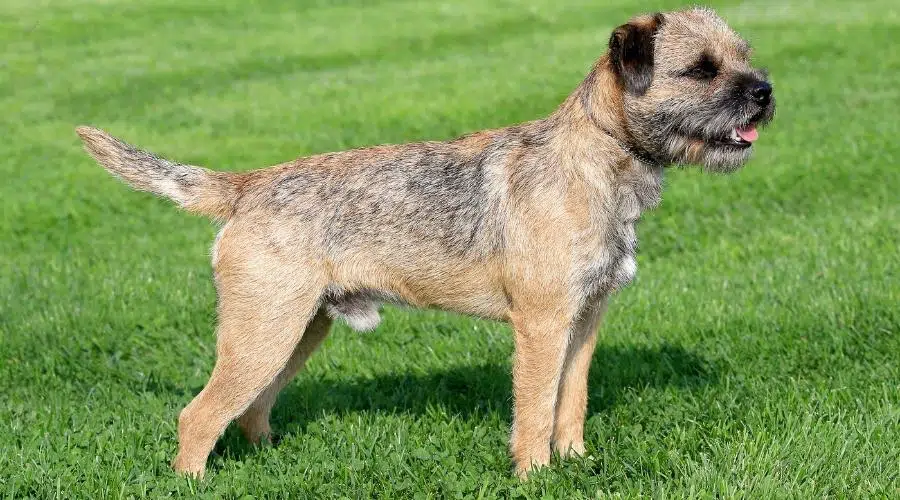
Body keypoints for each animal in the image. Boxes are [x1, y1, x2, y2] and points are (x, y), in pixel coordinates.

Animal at [75, 6, 772, 476]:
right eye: (701, 70)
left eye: (743, 55)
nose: (764, 91)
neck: (597, 159)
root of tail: (248, 185)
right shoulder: (543, 325)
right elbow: (535, 408)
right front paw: (537, 474)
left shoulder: (587, 318)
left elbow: (569, 401)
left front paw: (574, 462)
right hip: (264, 328)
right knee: (197, 415)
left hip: (297, 329)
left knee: (250, 408)